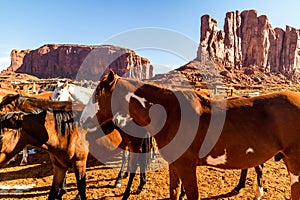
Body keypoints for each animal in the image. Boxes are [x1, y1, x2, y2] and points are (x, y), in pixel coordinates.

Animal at [80, 70, 300, 200]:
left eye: (97, 94)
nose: (82, 121)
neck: (170, 113)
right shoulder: (175, 165)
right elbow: (174, 192)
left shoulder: (186, 167)